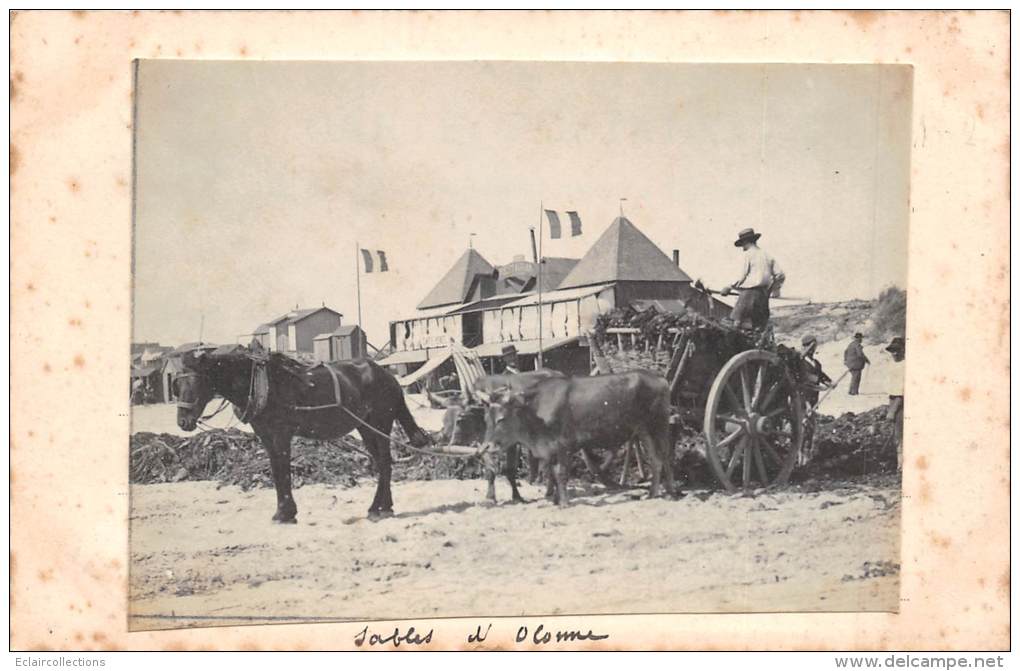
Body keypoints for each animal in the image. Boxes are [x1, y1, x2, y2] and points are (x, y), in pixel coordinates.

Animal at [175, 344, 430, 522]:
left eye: (196, 382)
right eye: (176, 385)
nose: (182, 422)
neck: (263, 385)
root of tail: (387, 375)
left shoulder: (281, 434)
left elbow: (283, 471)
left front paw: (285, 512)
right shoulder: (266, 437)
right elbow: (276, 471)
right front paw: (284, 512)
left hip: (380, 423)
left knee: (385, 462)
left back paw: (379, 508)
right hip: (365, 427)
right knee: (381, 463)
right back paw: (383, 505)